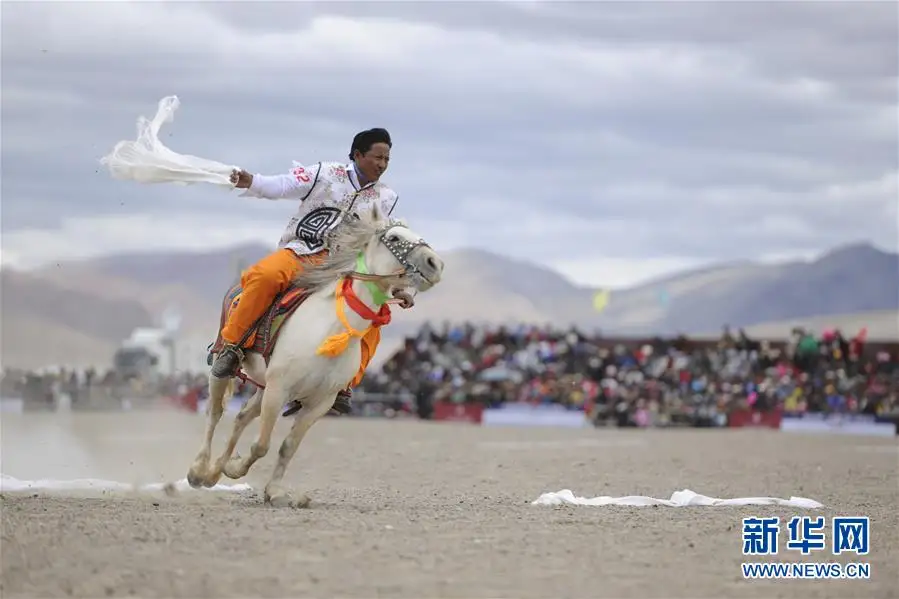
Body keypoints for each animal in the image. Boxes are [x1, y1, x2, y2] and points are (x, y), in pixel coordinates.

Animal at [187, 204, 446, 508]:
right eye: (393, 237)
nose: (435, 264)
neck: (329, 330)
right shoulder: (279, 390)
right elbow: (261, 445)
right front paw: (237, 469)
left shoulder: (318, 403)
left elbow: (287, 447)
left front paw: (274, 491)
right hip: (226, 365)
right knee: (215, 413)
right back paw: (199, 471)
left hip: (265, 387)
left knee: (240, 417)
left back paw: (215, 471)